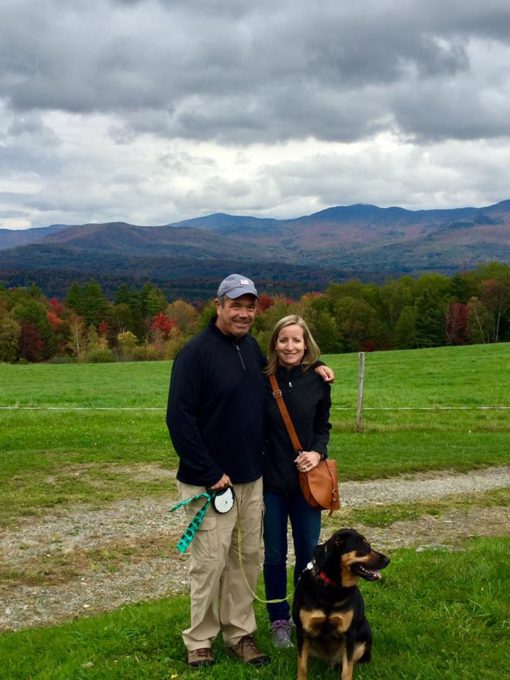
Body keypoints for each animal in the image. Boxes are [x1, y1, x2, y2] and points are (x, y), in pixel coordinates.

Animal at [292, 528, 388, 680]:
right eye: (364, 547)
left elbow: (347, 670)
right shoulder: (303, 631)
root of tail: (330, 661)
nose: (388, 560)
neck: (333, 585)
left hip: (365, 632)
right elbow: (302, 666)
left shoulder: (349, 634)